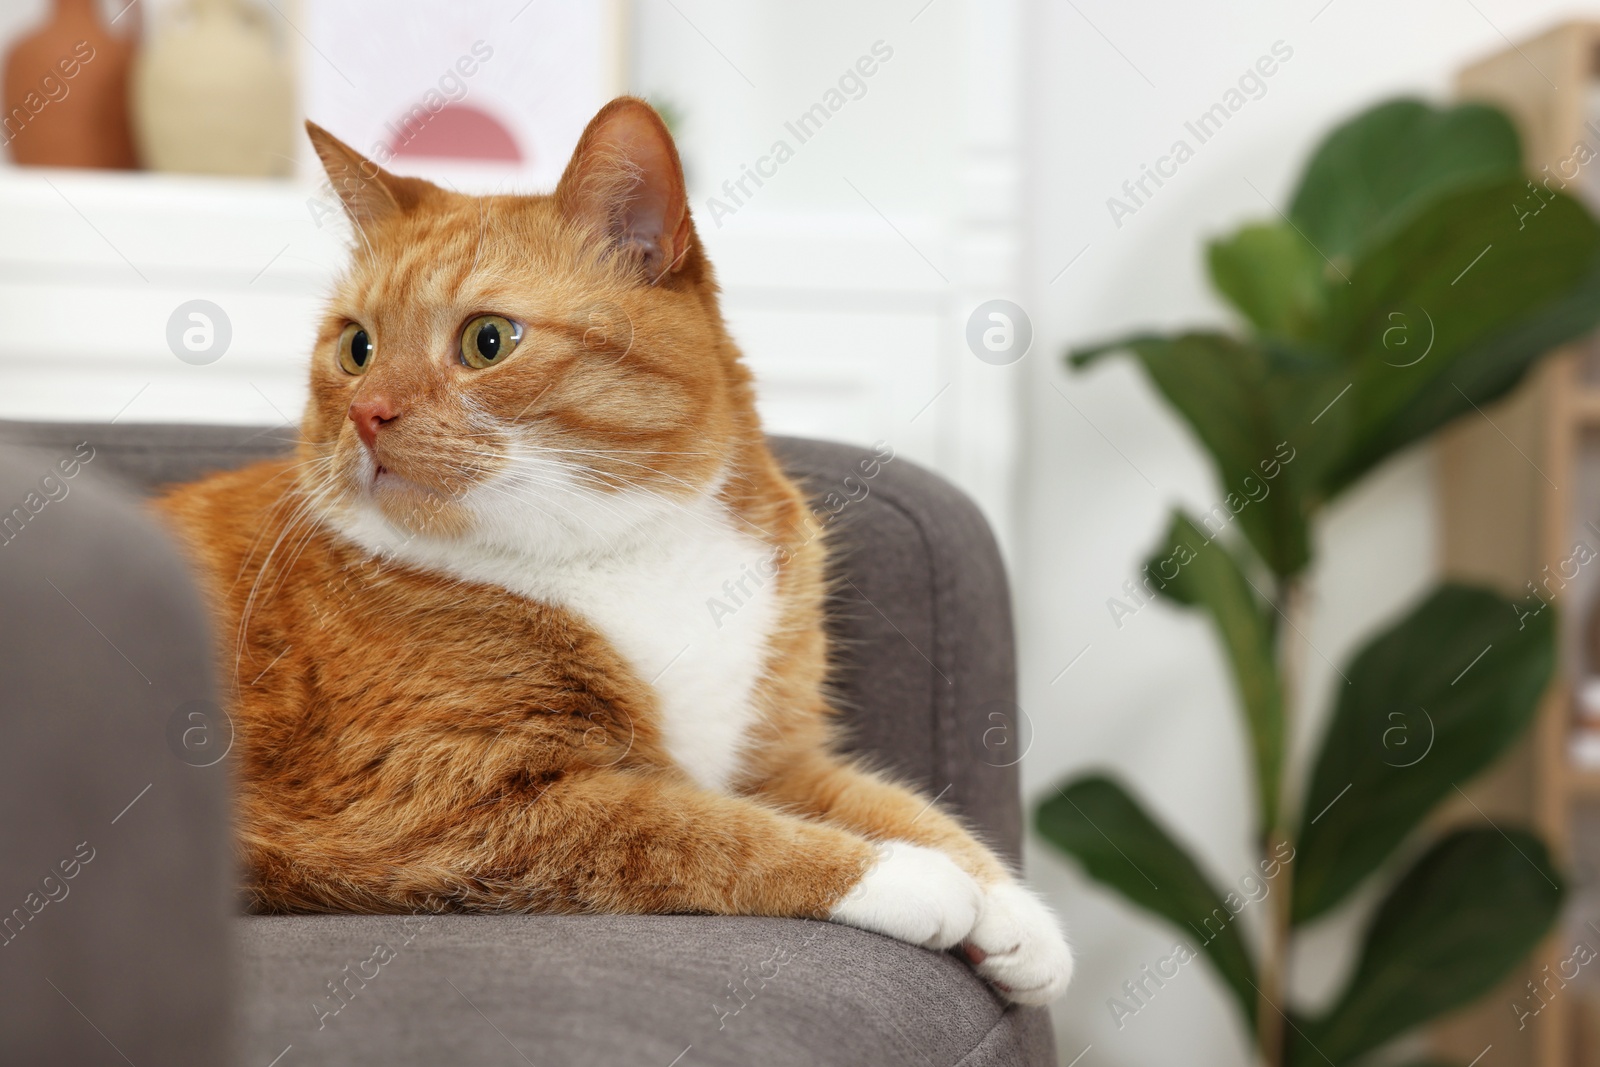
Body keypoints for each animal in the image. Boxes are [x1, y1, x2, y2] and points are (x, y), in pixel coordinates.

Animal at [159, 95, 1075, 1004]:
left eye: (487, 340)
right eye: (358, 348)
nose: (366, 412)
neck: (621, 547)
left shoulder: (775, 757)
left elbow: (894, 801)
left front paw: (1011, 910)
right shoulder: (439, 804)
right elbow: (704, 829)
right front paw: (909, 878)